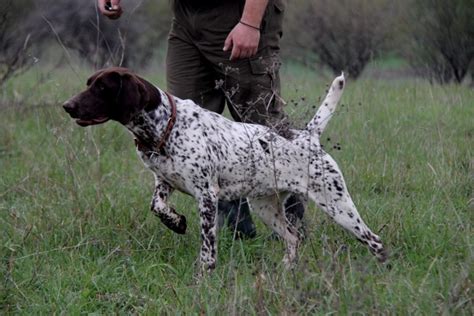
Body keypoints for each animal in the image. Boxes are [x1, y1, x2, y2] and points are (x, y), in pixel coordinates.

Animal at [63, 68, 386, 272]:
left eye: (101, 88)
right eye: (89, 83)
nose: (67, 105)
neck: (164, 126)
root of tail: (308, 136)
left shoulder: (207, 196)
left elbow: (208, 247)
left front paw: (205, 273)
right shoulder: (163, 182)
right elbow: (157, 206)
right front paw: (176, 222)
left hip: (338, 205)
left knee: (375, 241)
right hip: (265, 208)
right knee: (293, 239)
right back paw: (285, 270)